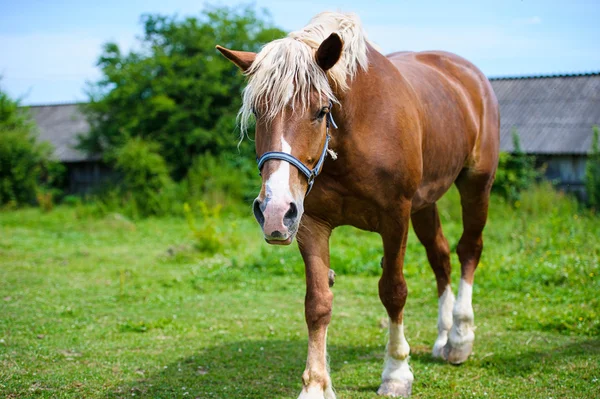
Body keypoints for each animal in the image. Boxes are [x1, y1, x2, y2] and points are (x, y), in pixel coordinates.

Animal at [218, 10, 500, 398]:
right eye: (259, 112)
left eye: (321, 110)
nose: (273, 211)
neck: (357, 131)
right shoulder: (310, 223)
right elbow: (317, 303)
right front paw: (315, 385)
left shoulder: (395, 217)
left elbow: (393, 291)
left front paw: (396, 372)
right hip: (425, 202)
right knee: (440, 256)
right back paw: (443, 338)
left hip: (476, 183)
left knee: (468, 249)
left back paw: (459, 339)